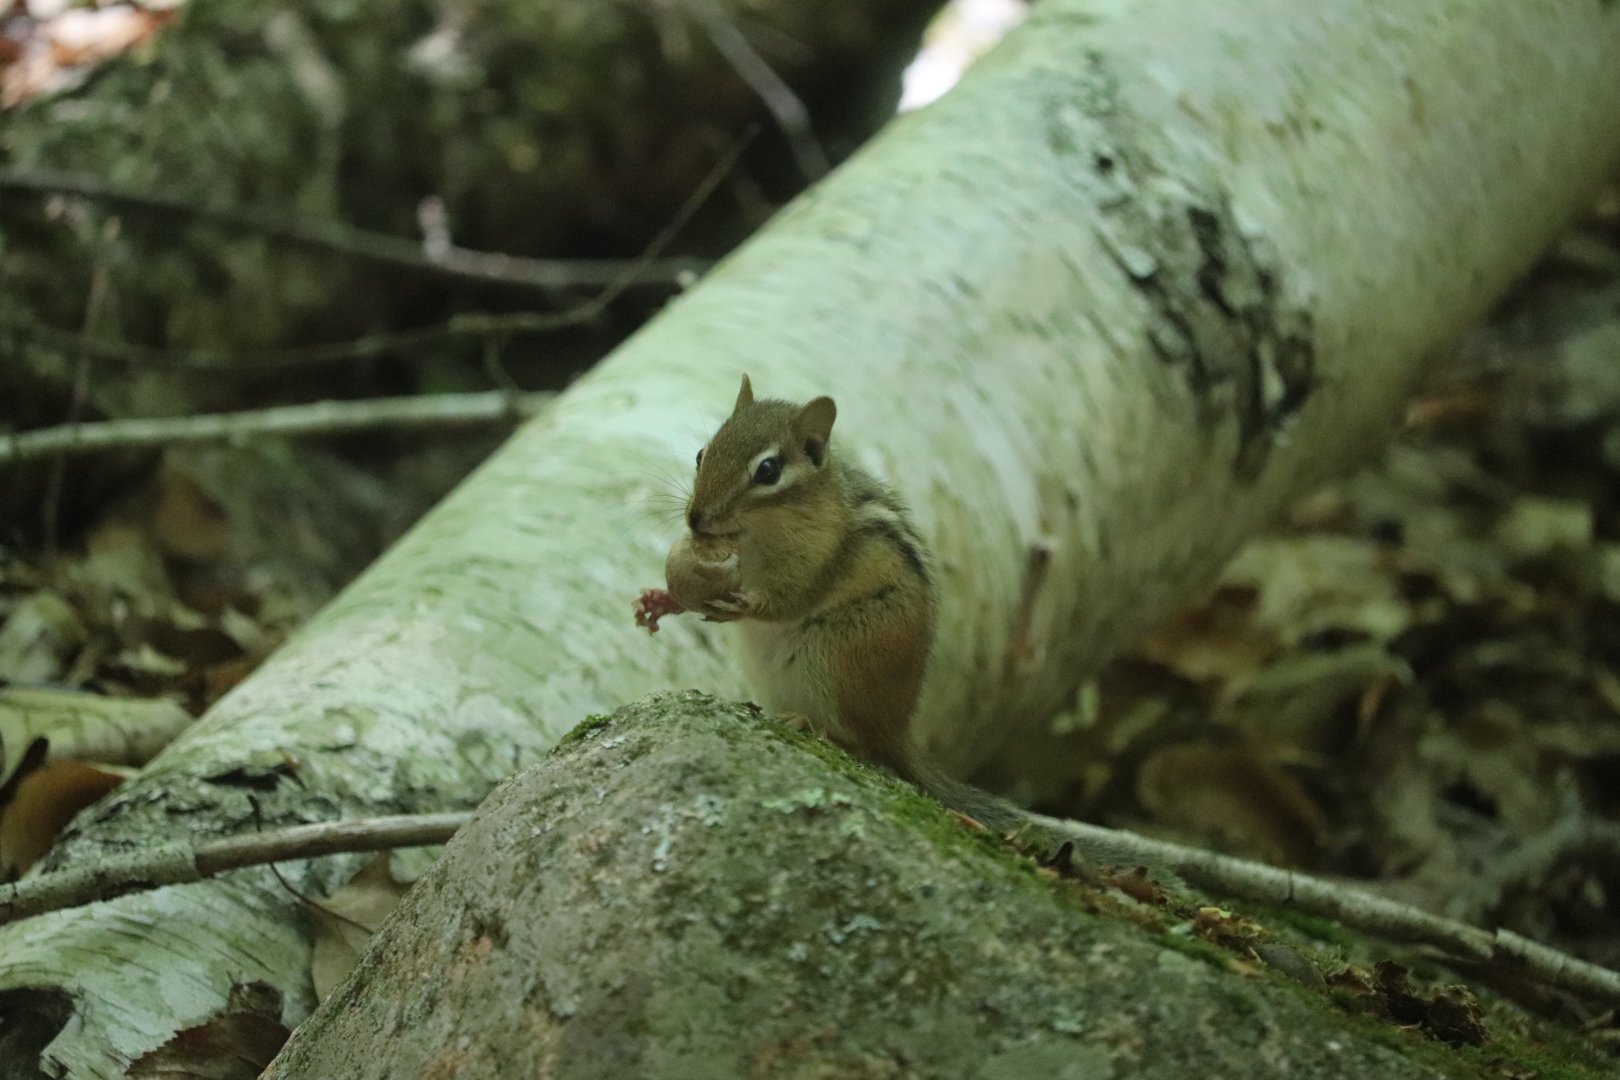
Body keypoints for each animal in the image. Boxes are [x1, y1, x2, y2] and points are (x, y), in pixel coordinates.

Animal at [634, 375, 1036, 835]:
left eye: (767, 471)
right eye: (703, 453)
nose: (695, 519)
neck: (755, 537)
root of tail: (897, 727)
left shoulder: (817, 562)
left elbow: (789, 600)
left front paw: (744, 606)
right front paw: (660, 601)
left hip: (834, 652)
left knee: (857, 743)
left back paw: (806, 723)